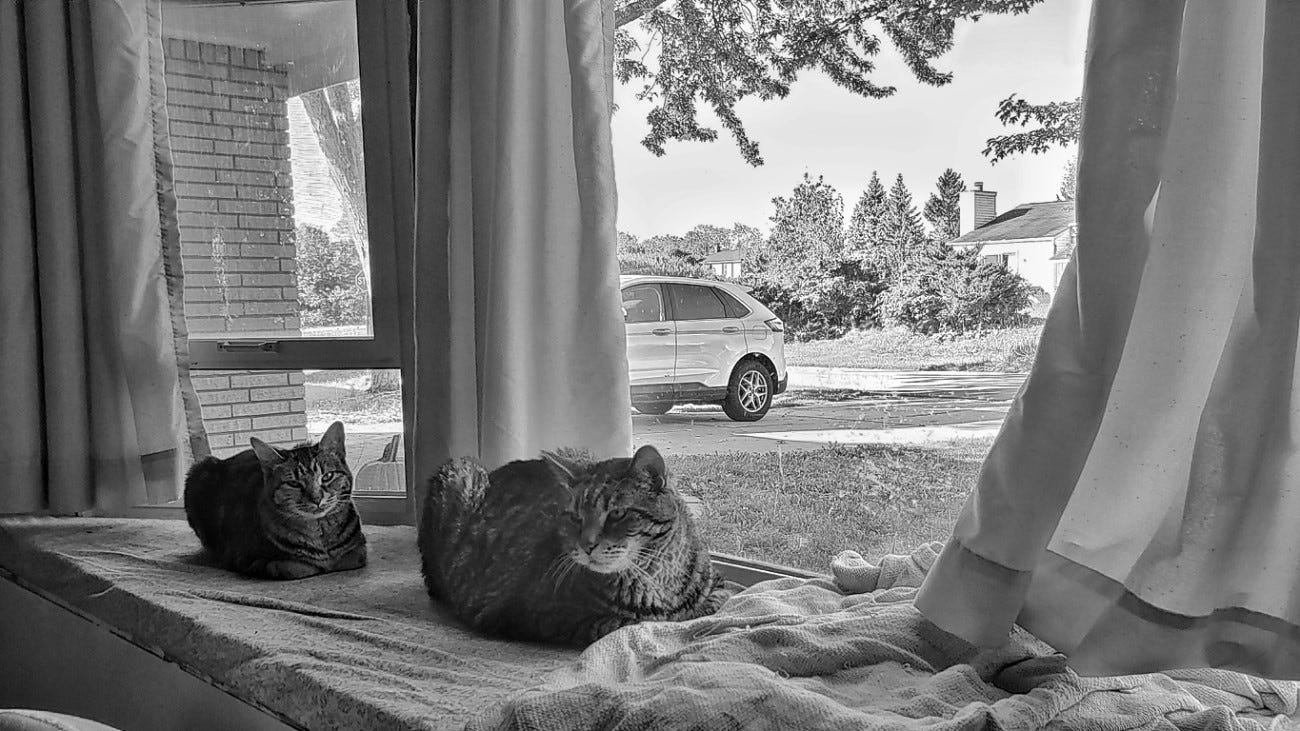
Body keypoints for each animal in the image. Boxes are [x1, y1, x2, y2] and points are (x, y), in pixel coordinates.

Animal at [421, 444, 738, 642]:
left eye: (617, 514)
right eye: (575, 517)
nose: (587, 545)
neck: (659, 578)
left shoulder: (719, 586)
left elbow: (714, 601)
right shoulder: (522, 614)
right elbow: (632, 622)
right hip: (458, 472)